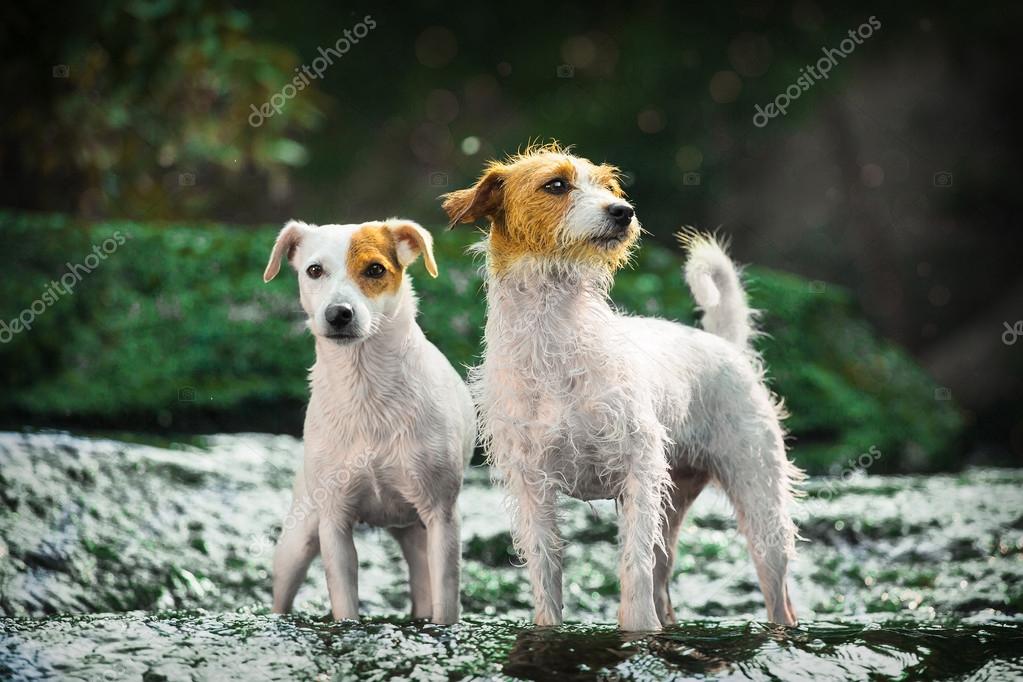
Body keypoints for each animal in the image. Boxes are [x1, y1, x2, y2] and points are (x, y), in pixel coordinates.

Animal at [261, 218, 472, 625]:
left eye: (375, 269)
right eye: (314, 270)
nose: (338, 313)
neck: (365, 386)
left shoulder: (441, 517)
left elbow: (446, 599)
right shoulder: (334, 522)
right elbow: (344, 599)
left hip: (418, 534)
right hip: (297, 540)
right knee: (282, 594)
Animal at [443, 145, 802, 633]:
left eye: (609, 187)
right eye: (556, 184)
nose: (623, 211)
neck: (556, 339)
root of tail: (724, 344)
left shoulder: (638, 472)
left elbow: (634, 566)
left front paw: (636, 628)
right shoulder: (533, 487)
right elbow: (547, 574)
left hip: (761, 509)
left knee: (775, 596)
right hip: (674, 503)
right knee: (663, 581)